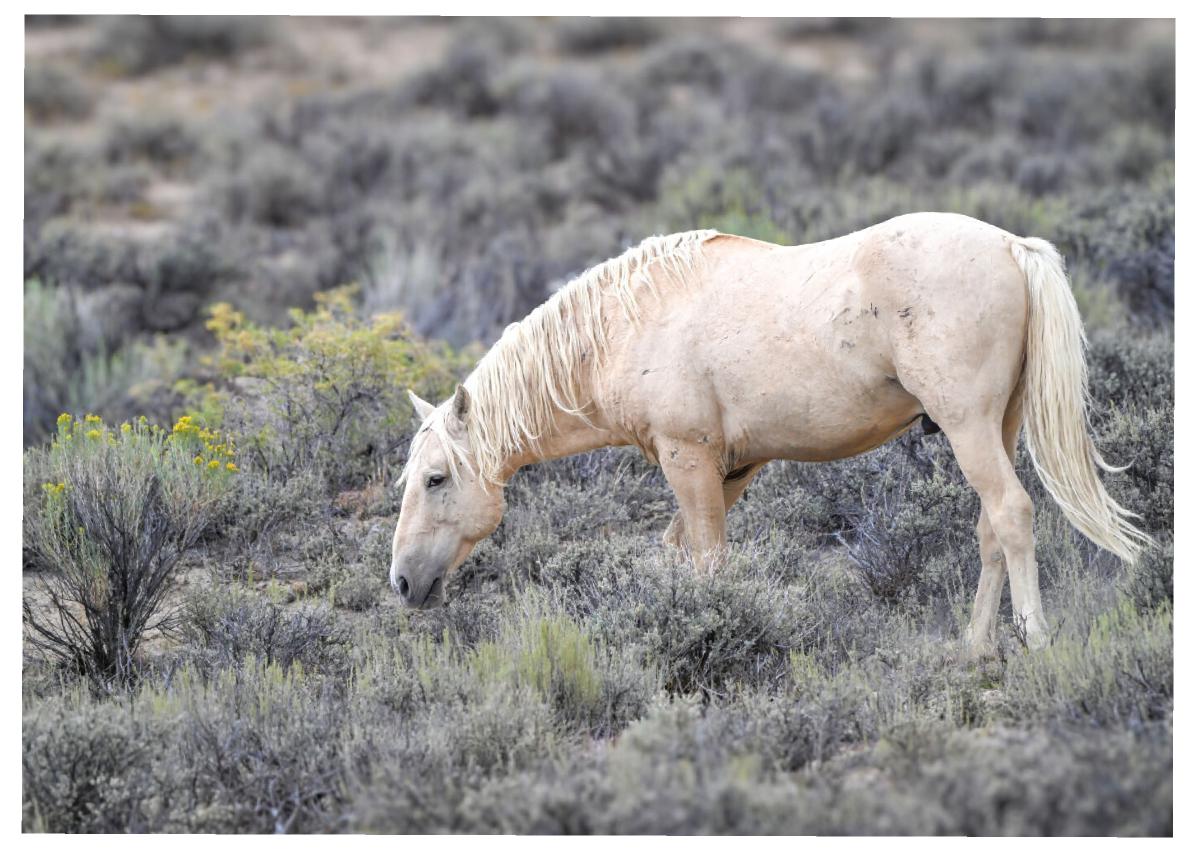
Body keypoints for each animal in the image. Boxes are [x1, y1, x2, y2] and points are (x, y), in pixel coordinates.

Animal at [391, 212, 1149, 658]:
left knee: (1014, 515)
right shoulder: (733, 469)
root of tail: (1014, 247)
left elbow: (707, 562)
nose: (402, 582)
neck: (627, 322)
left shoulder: (689, 459)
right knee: (991, 526)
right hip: (998, 426)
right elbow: (677, 554)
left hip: (968, 427)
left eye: (436, 479)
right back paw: (973, 647)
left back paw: (1035, 640)